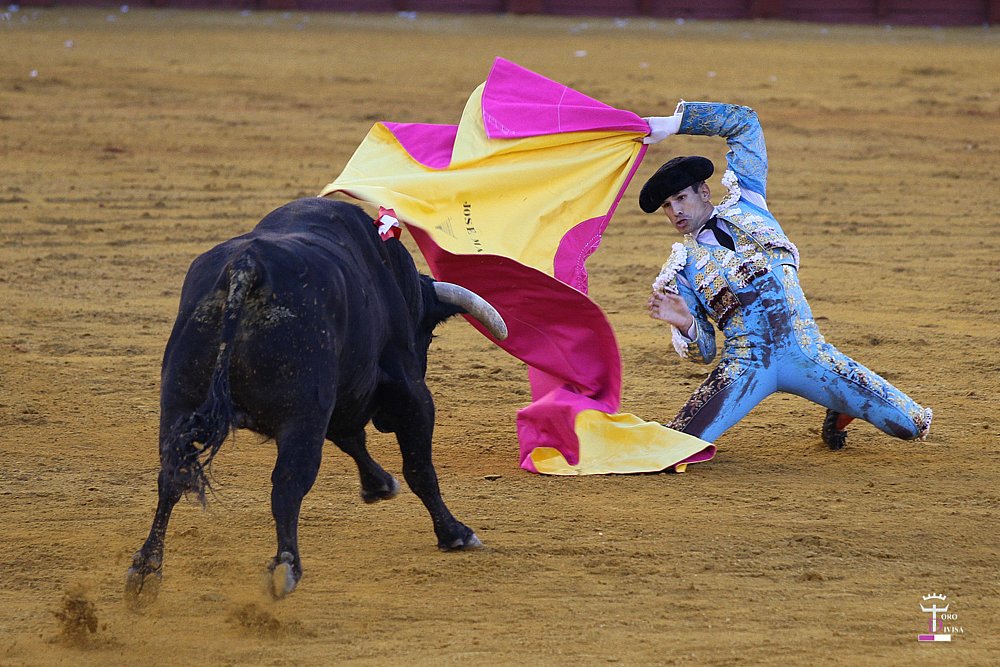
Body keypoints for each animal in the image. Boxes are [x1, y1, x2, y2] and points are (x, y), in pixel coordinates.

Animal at [125, 197, 507, 602]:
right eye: (429, 334)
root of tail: (246, 267)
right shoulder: (408, 391)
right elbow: (418, 467)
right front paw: (455, 533)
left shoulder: (338, 394)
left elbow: (351, 437)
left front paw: (378, 485)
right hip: (302, 415)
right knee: (288, 483)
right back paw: (285, 567)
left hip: (178, 405)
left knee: (172, 477)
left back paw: (146, 570)